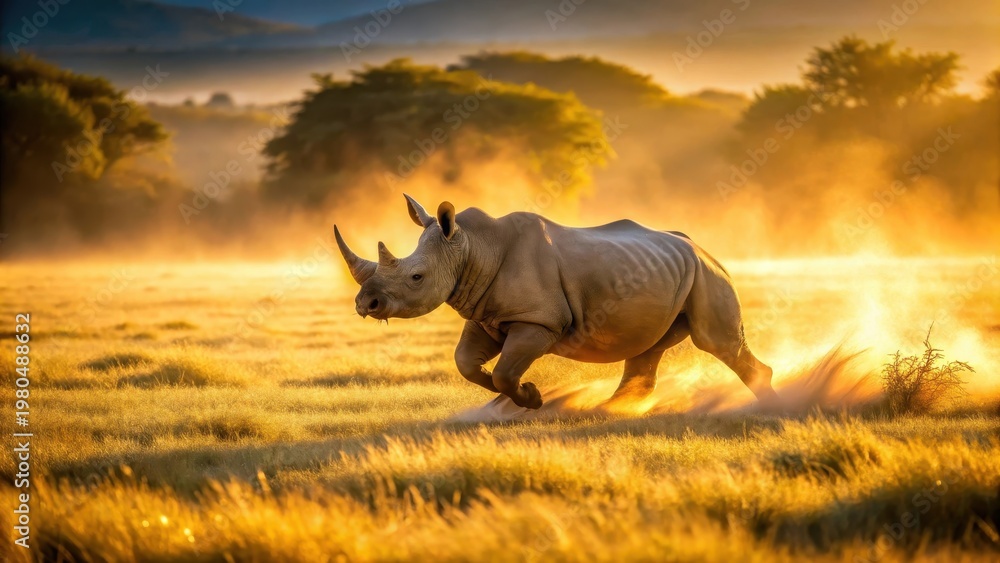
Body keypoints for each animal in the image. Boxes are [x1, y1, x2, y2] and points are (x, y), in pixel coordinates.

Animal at [334, 195, 778, 409]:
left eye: (416, 278)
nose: (365, 304)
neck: (472, 247)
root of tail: (702, 248)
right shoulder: (487, 315)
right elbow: (466, 363)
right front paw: (517, 398)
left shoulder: (538, 321)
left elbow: (505, 371)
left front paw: (530, 398)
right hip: (673, 271)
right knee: (647, 348)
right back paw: (608, 410)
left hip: (707, 275)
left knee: (716, 342)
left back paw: (772, 406)